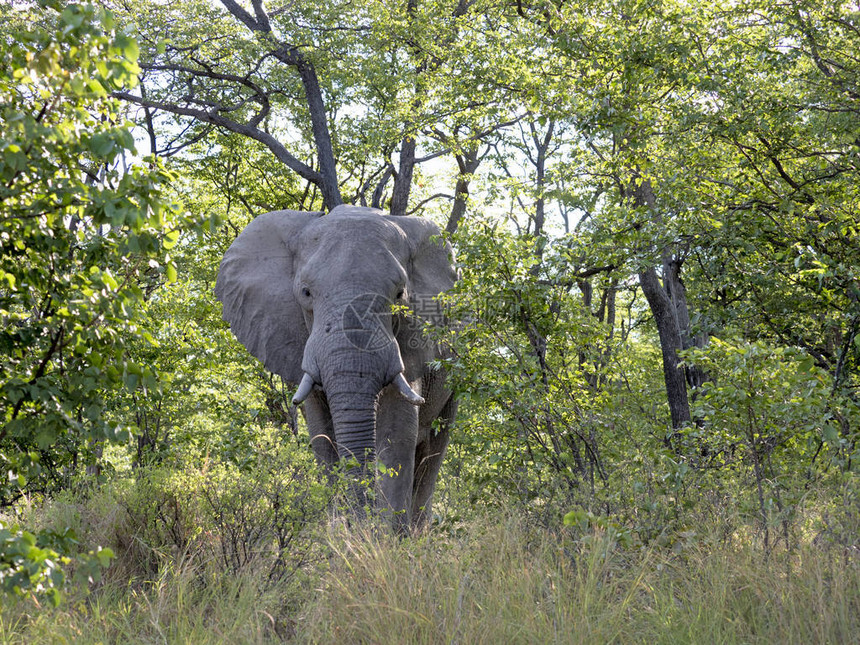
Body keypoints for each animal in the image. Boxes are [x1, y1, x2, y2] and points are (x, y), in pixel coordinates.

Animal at [215, 204, 456, 532]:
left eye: (399, 295)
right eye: (305, 293)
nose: (362, 525)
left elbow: (396, 432)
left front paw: (387, 540)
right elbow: (322, 437)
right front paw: (340, 534)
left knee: (433, 451)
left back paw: (418, 533)